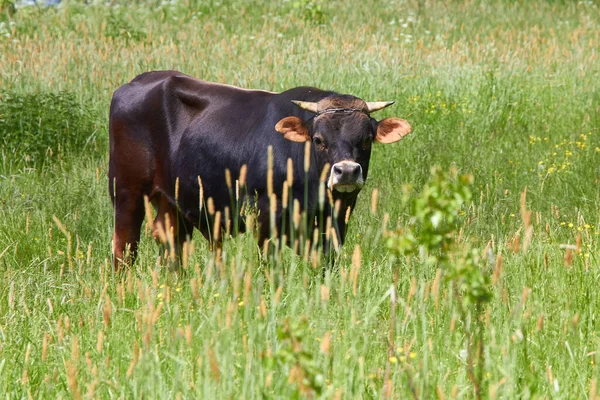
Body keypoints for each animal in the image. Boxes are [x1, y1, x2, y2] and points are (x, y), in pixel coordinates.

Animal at [108, 71, 410, 270]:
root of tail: (137, 82)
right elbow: (269, 263)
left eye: (366, 139)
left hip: (172, 201)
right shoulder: (267, 215)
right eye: (318, 140)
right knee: (124, 247)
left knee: (171, 244)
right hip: (127, 192)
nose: (346, 171)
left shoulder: (336, 218)